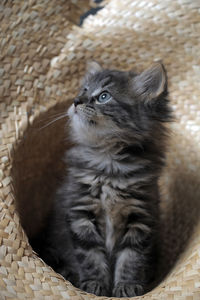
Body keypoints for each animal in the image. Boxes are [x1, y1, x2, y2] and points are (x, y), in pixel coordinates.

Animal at [40, 61, 172, 298]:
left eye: (104, 96)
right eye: (83, 90)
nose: (76, 101)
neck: (109, 163)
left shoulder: (141, 216)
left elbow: (132, 258)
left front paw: (126, 286)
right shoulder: (80, 213)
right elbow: (90, 256)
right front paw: (95, 285)